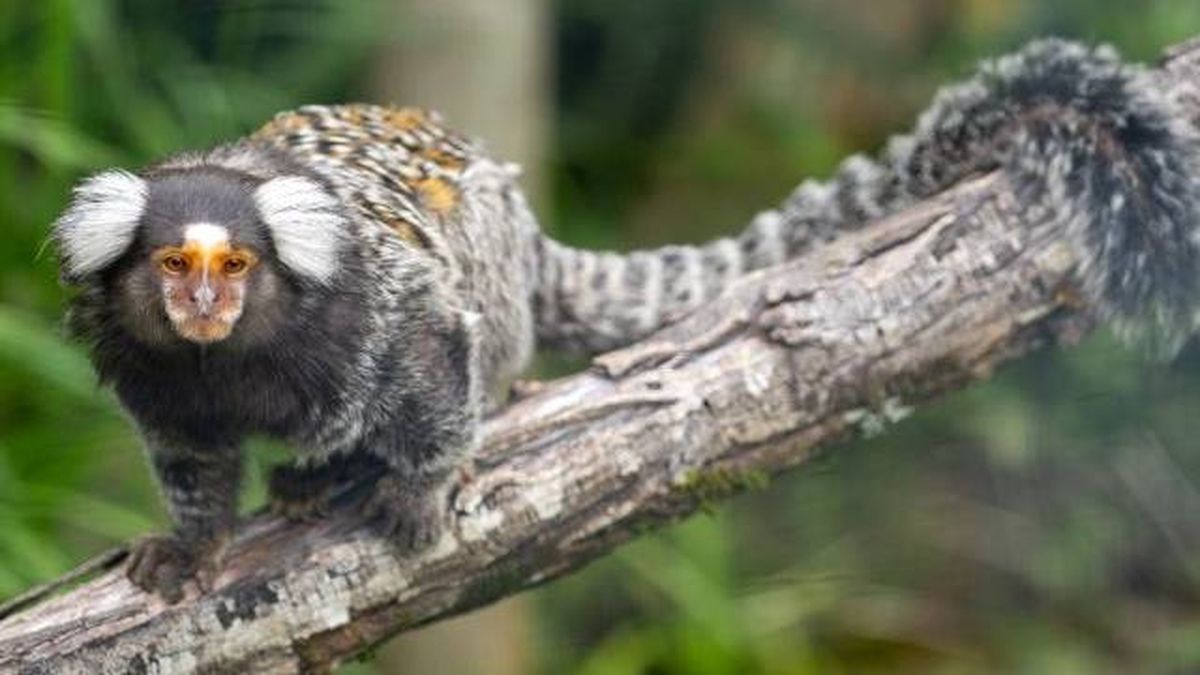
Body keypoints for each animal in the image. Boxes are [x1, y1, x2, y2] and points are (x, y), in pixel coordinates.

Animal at [52, 39, 1200, 603]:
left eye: (236, 264)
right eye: (174, 264)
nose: (204, 302)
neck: (235, 358)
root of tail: (528, 233)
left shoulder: (375, 309)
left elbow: (433, 355)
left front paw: (419, 488)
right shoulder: (158, 382)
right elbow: (192, 460)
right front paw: (194, 546)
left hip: (494, 273)